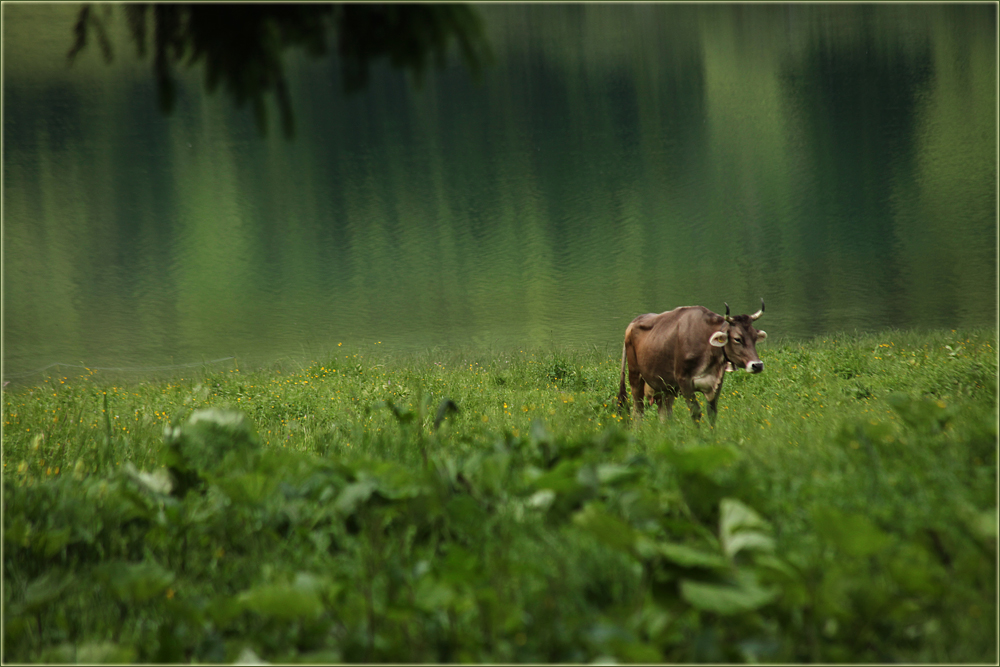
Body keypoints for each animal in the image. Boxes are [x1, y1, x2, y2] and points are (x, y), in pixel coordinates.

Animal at [612, 302, 768, 426]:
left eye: (754, 337)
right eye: (737, 339)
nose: (757, 365)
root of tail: (635, 321)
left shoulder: (715, 383)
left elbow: (712, 413)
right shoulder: (684, 381)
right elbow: (695, 412)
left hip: (665, 386)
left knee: (664, 413)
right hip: (635, 376)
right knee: (638, 411)